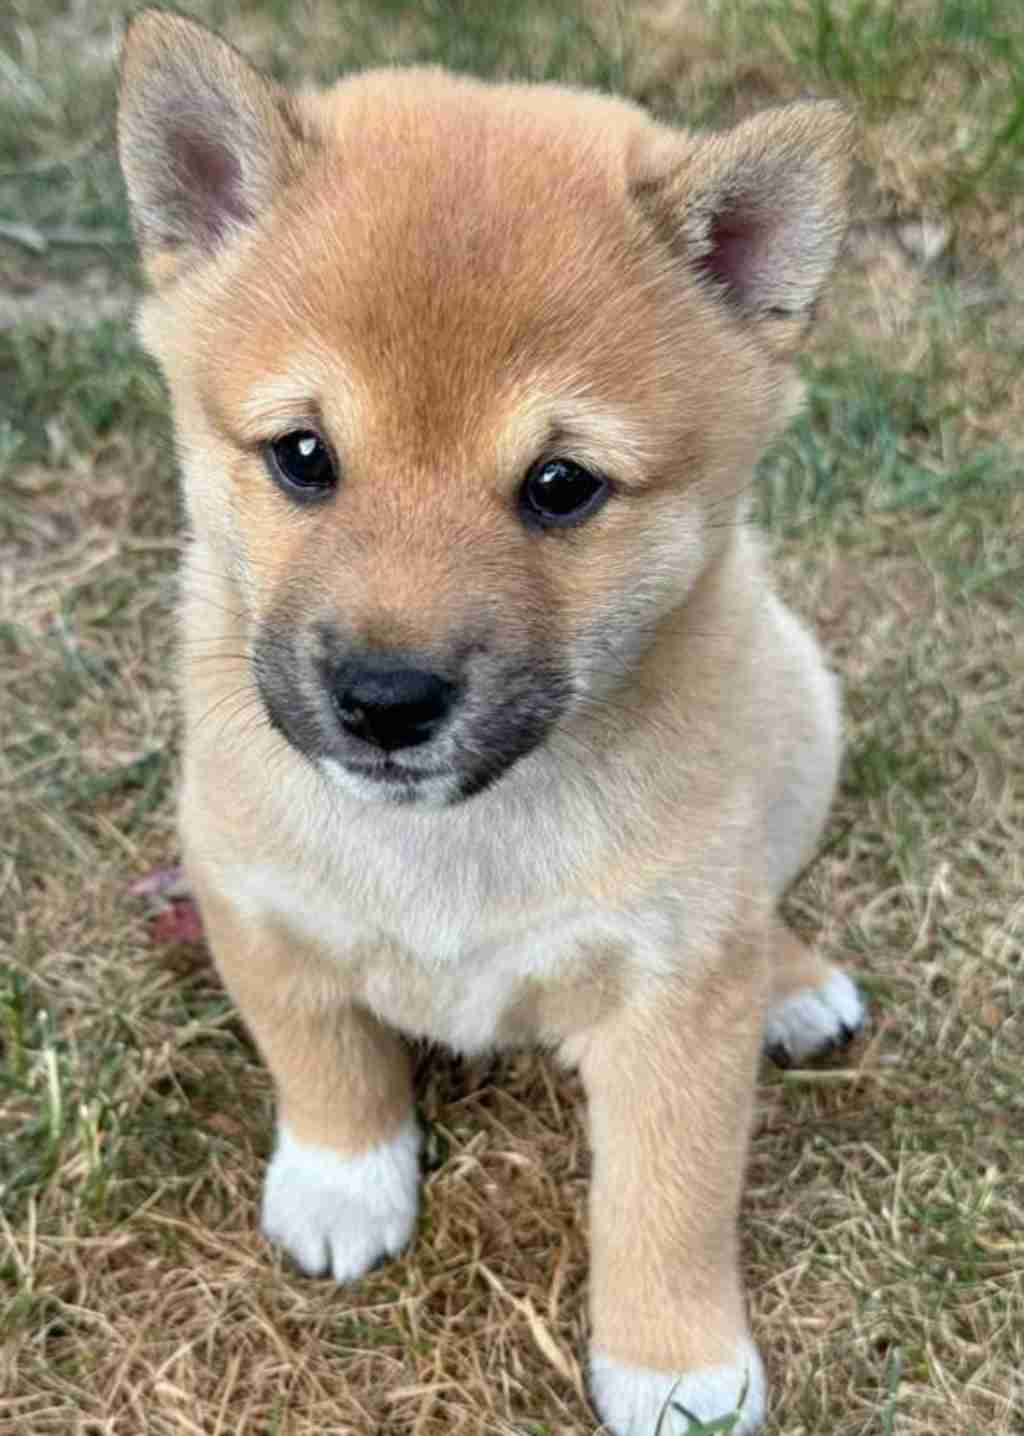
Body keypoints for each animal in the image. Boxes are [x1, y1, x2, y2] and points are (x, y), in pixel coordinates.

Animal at [117, 14, 861, 1436]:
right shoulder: (252, 897)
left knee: (767, 892)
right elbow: (323, 1060)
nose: (386, 699)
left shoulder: (675, 993)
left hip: (801, 723)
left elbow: (669, 1194)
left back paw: (793, 981)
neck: (452, 843)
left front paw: (676, 1365)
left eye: (561, 485)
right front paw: (344, 1181)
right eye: (303, 455)